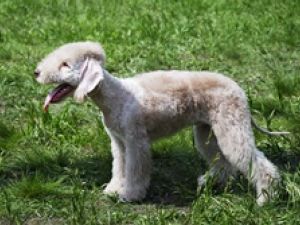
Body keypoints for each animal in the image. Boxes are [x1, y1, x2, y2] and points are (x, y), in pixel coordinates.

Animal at [34, 41, 284, 205]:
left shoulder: (136, 141)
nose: (36, 72)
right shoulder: (118, 142)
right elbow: (119, 168)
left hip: (232, 126)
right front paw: (113, 190)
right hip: (207, 131)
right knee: (223, 162)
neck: (115, 96)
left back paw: (265, 199)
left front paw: (129, 195)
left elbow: (135, 170)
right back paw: (210, 183)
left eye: (65, 64)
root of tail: (239, 89)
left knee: (257, 163)